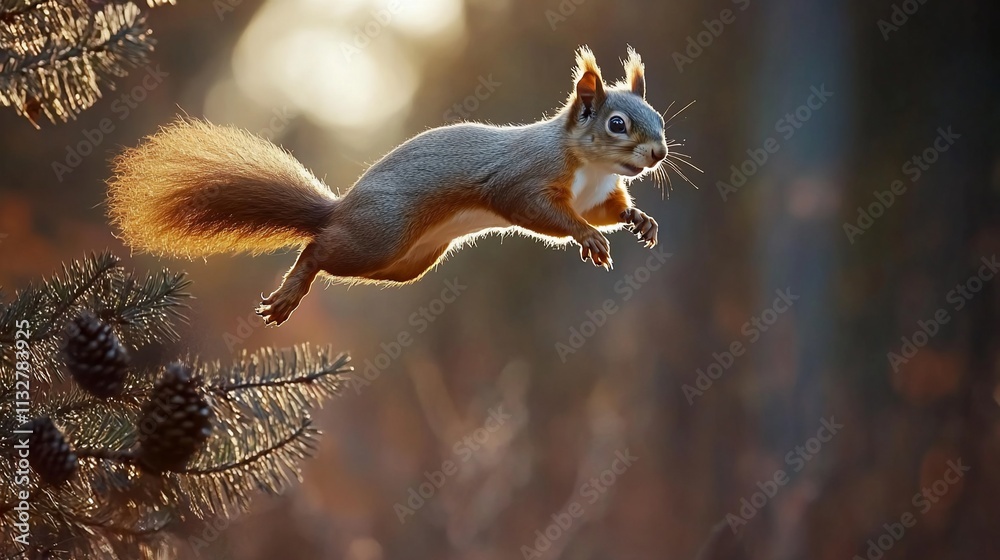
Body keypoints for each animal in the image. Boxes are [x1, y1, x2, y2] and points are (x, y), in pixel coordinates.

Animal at [108, 46, 673, 326]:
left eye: (660, 119)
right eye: (617, 124)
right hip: (380, 236)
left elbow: (608, 210)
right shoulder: (524, 178)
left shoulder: (596, 195)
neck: (591, 168)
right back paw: (291, 290)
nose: (659, 154)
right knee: (317, 248)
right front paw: (588, 237)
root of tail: (339, 209)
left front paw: (640, 221)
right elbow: (541, 211)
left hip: (405, 264)